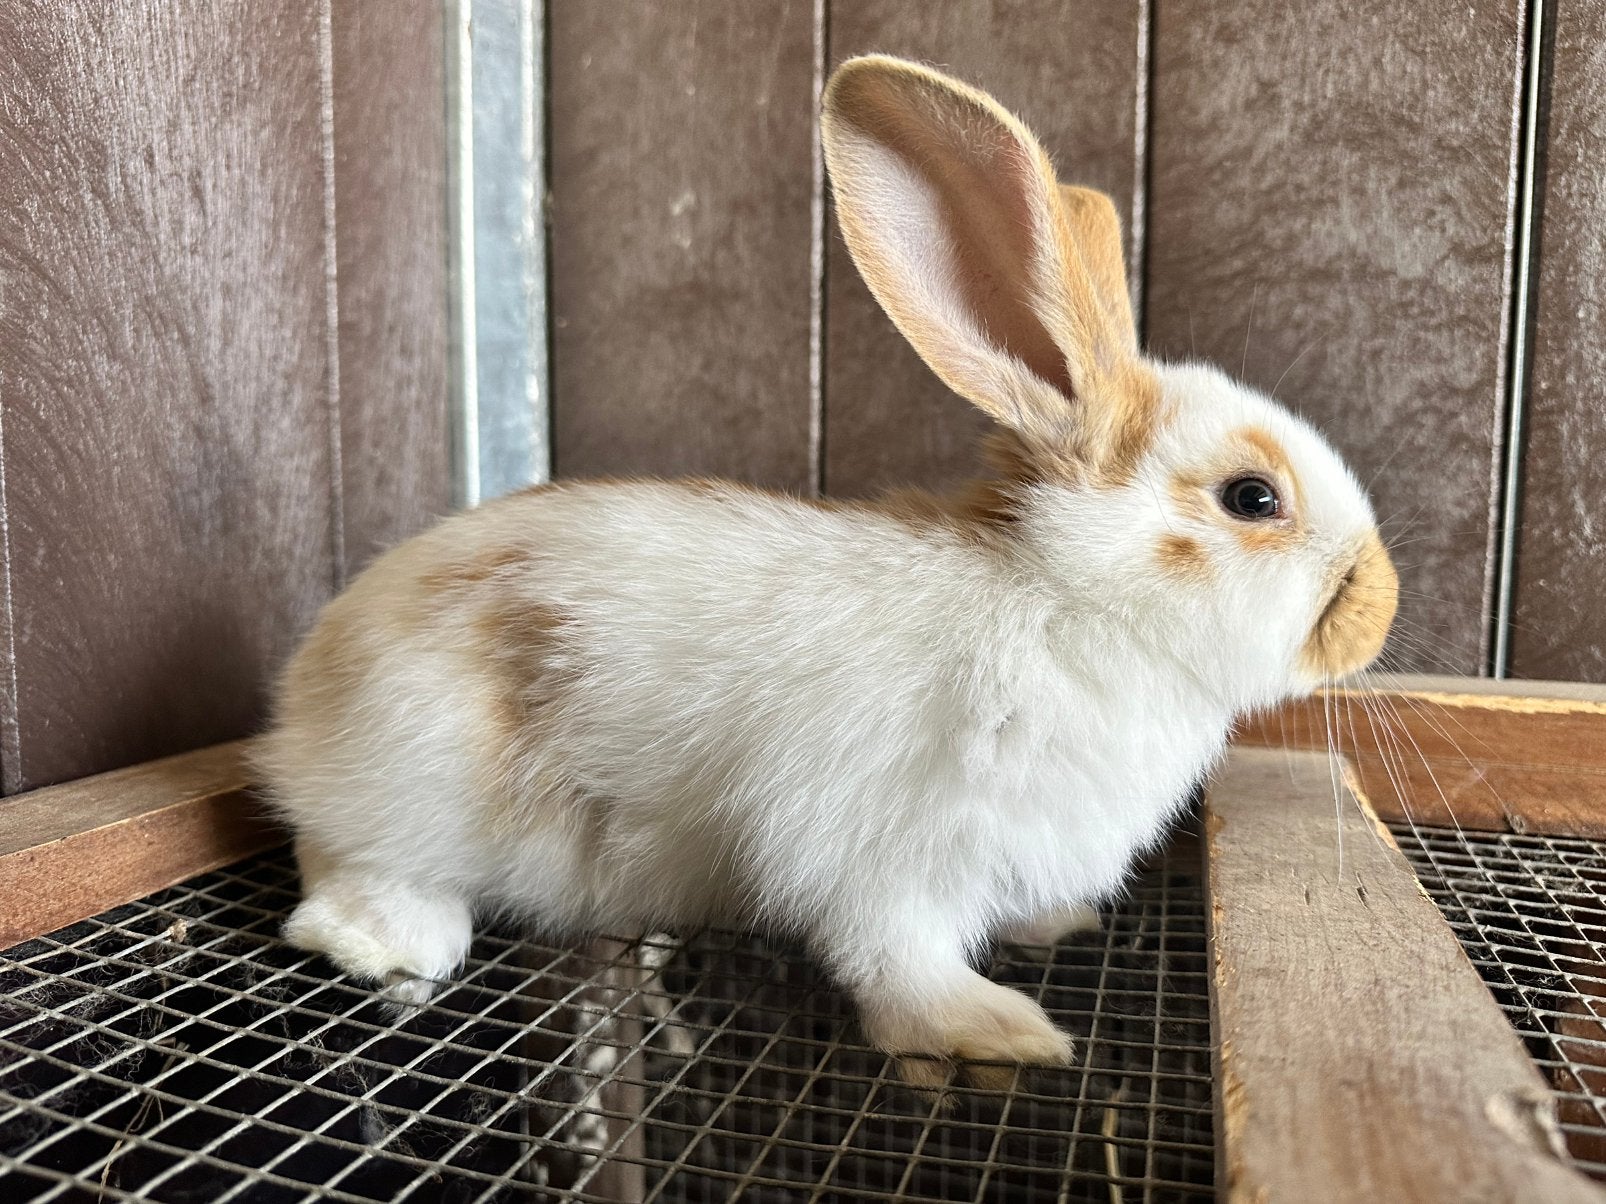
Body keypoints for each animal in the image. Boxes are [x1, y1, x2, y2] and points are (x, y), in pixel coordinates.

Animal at [258, 54, 1398, 1089]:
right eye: (1252, 498)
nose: (1378, 604)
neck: (1068, 600)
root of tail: (305, 691)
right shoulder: (881, 847)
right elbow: (897, 958)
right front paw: (992, 1030)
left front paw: (1055, 925)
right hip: (419, 772)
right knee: (342, 858)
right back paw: (390, 941)